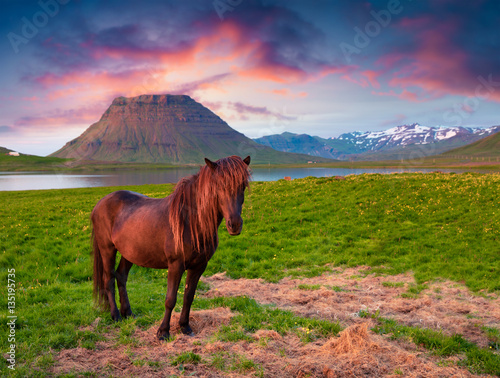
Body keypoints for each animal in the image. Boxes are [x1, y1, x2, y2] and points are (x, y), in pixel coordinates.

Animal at [90, 154, 250, 340]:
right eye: (219, 185)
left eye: (243, 185)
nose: (235, 225)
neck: (191, 221)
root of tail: (99, 204)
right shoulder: (175, 265)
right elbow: (170, 299)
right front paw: (163, 332)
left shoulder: (199, 266)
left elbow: (188, 297)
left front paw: (185, 327)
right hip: (107, 249)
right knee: (108, 279)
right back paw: (116, 316)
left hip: (128, 253)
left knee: (121, 276)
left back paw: (128, 313)